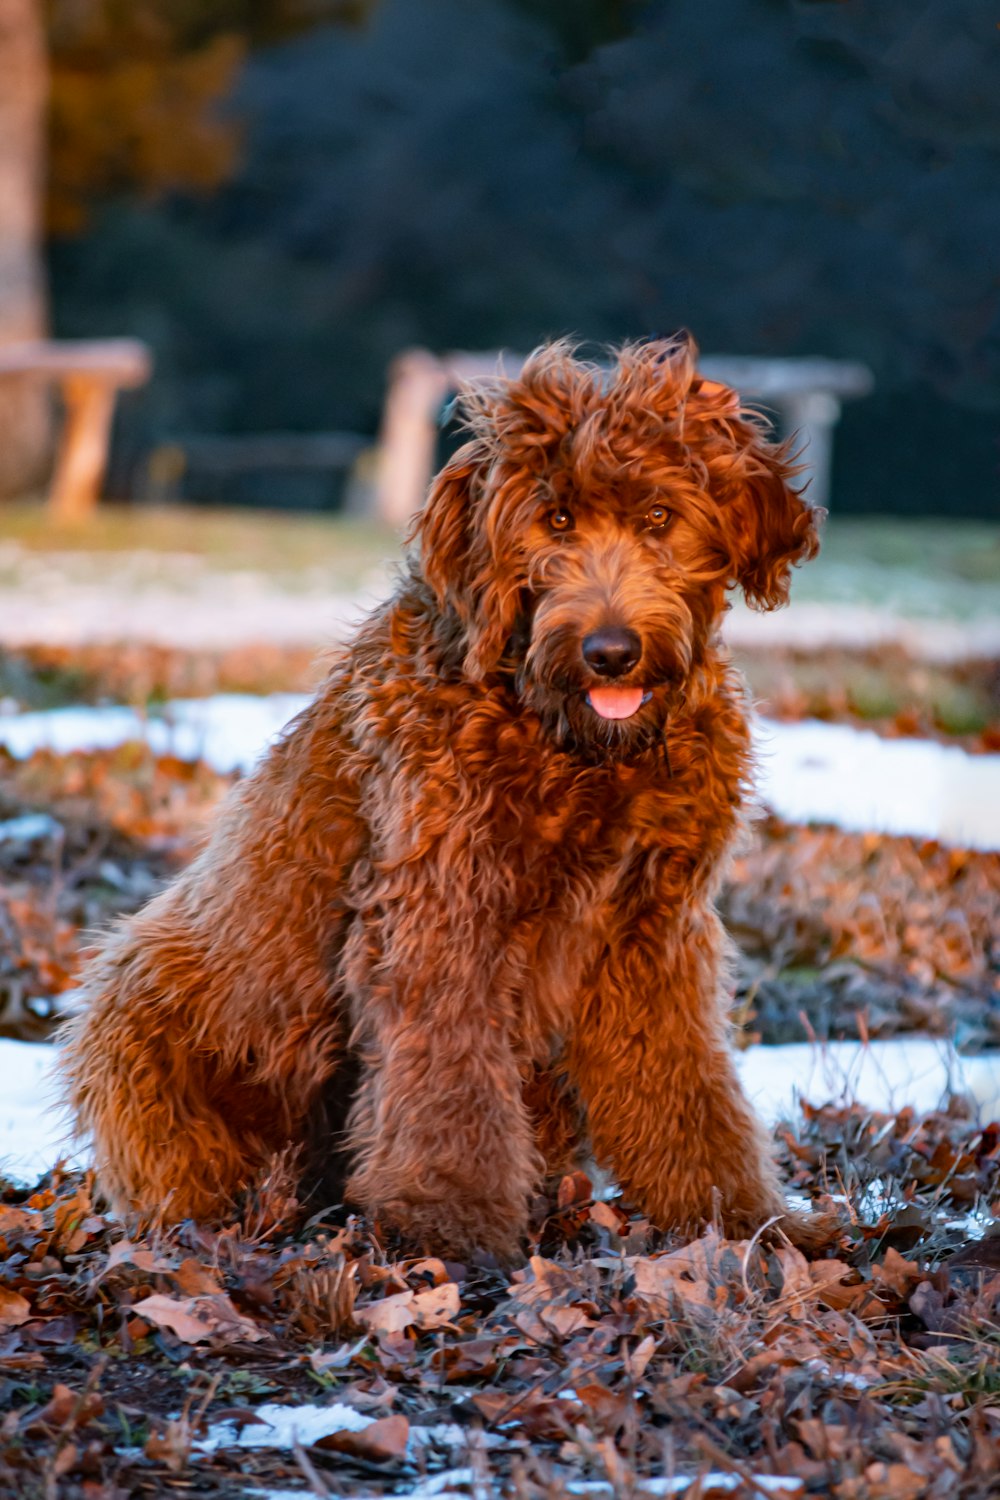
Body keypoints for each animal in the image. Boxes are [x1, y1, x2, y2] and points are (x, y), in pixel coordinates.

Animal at [62, 337, 821, 1254]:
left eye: (659, 517)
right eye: (554, 519)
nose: (610, 652)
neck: (575, 747)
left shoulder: (655, 927)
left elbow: (685, 1084)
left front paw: (735, 1218)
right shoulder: (444, 906)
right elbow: (446, 1078)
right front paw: (445, 1221)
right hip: (139, 993)